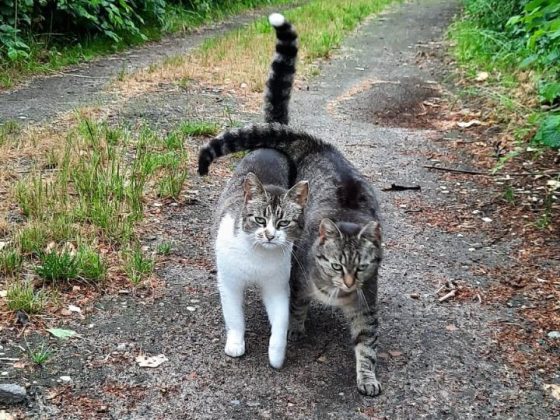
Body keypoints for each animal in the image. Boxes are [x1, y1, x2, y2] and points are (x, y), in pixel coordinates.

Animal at [198, 122, 384, 398]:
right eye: (336, 265)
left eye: (361, 267)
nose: (349, 283)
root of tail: (321, 147)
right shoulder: (250, 283)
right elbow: (242, 316)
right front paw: (243, 342)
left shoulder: (362, 303)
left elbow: (366, 342)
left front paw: (368, 377)